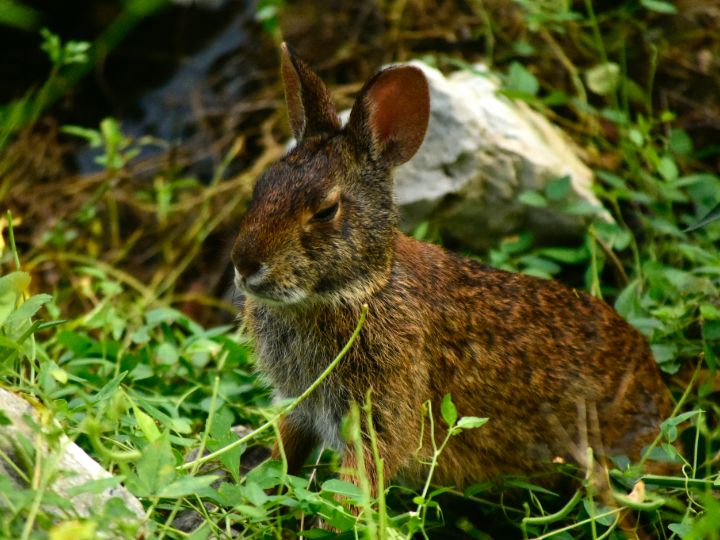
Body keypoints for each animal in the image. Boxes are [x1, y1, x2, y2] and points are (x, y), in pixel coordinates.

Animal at [230, 43, 672, 493]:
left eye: (325, 211)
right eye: (262, 185)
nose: (244, 265)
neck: (364, 287)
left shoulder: (378, 417)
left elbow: (360, 482)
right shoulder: (300, 406)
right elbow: (285, 450)